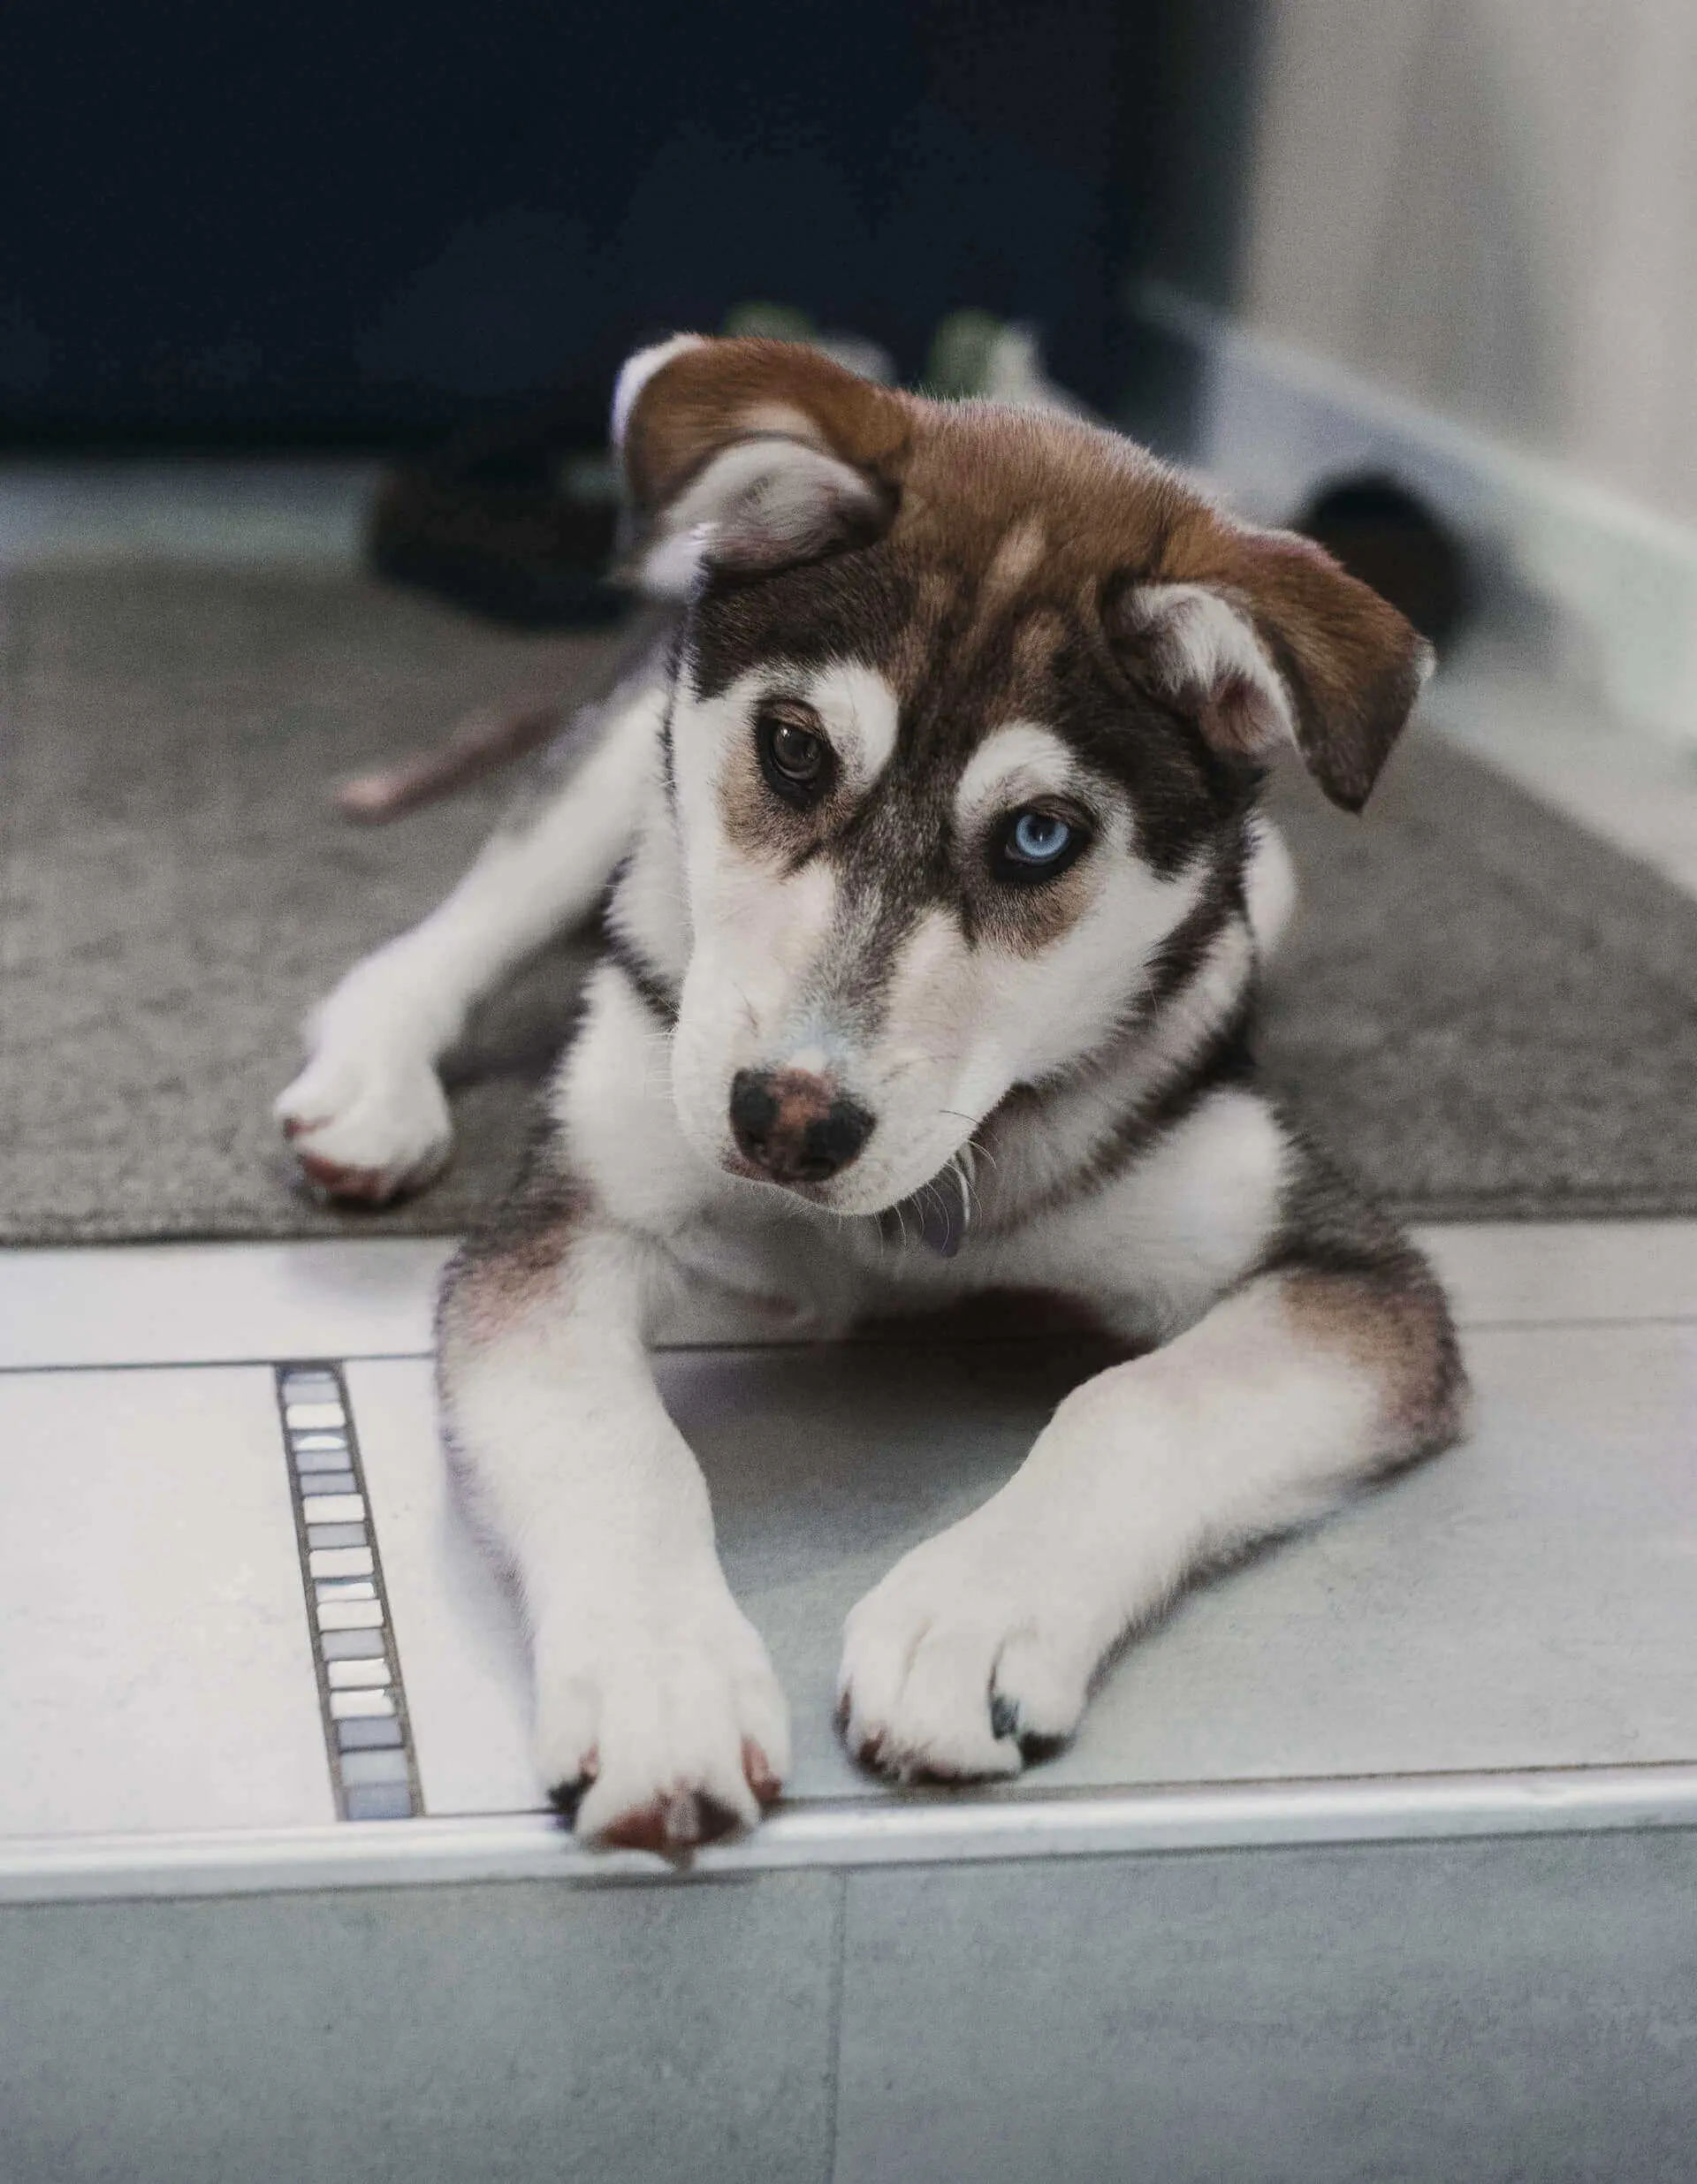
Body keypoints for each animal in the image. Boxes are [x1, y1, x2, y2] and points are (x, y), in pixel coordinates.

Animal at [281, 331, 1467, 1852]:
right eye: (793, 748)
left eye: (1040, 836)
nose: (786, 1120)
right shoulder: (573, 1221)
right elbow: (611, 1437)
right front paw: (660, 1678)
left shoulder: (1342, 1265)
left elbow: (1140, 1402)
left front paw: (974, 1618)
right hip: (620, 770)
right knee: (454, 926)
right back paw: (372, 1086)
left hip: (1281, 885)